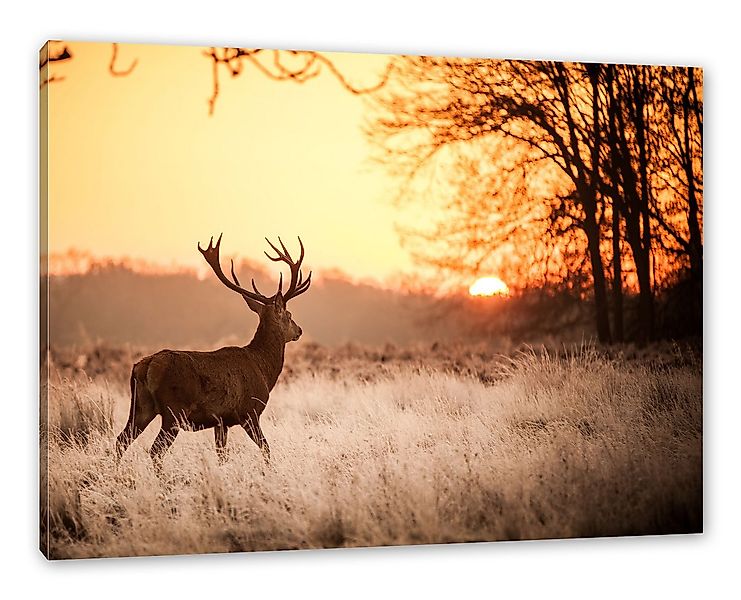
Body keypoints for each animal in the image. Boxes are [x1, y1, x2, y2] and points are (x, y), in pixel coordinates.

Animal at [115, 234, 311, 465]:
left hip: (140, 406)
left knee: (121, 440)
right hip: (174, 411)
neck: (263, 369)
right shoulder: (249, 412)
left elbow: (222, 455)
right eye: (289, 315)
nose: (299, 330)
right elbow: (266, 449)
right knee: (155, 450)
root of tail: (145, 367)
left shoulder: (221, 421)